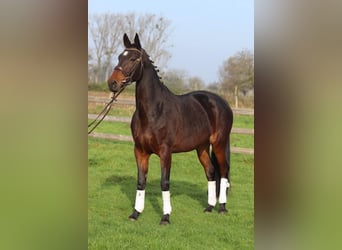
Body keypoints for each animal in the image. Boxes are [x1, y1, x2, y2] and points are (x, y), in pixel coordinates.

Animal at [108, 32, 234, 225]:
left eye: (133, 59)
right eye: (119, 57)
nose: (112, 83)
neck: (153, 112)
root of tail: (221, 102)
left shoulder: (165, 152)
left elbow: (164, 182)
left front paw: (165, 217)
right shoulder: (140, 151)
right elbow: (141, 182)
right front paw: (135, 213)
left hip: (219, 143)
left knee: (224, 170)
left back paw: (221, 207)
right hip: (202, 147)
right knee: (211, 171)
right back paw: (209, 207)